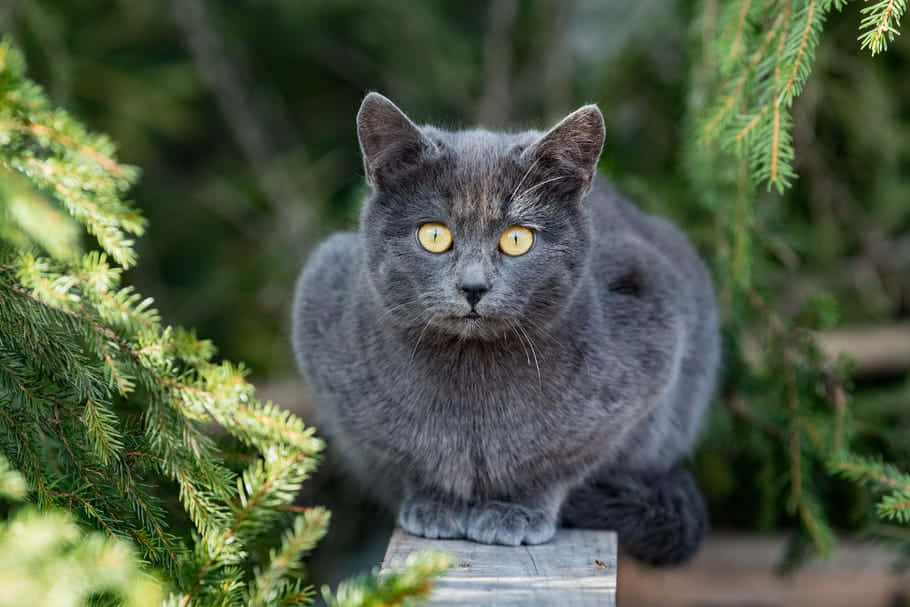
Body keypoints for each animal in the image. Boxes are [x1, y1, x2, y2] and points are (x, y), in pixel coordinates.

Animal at [292, 92, 720, 568]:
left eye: (517, 239)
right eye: (434, 235)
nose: (474, 286)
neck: (470, 382)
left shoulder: (648, 326)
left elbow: (559, 461)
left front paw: (517, 510)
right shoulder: (323, 303)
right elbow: (407, 455)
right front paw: (436, 503)